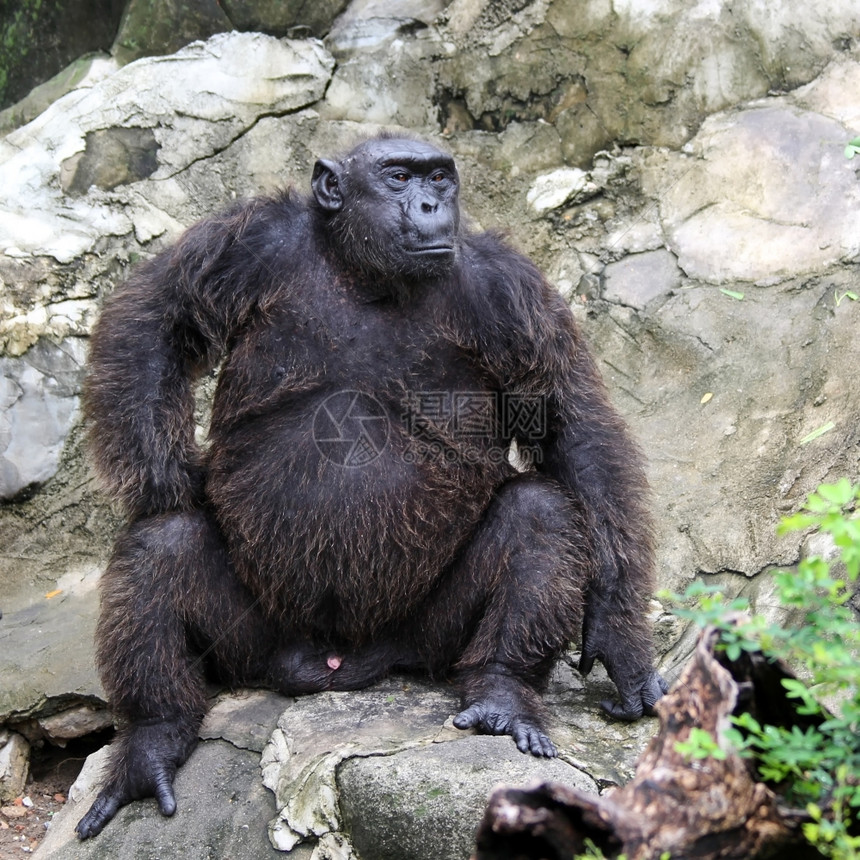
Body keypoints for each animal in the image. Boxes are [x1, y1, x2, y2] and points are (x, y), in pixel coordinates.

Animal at [75, 136, 664, 840]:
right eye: (399, 177)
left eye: (439, 177)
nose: (431, 203)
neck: (365, 272)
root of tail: (342, 663)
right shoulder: (243, 243)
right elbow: (157, 318)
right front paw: (170, 476)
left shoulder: (512, 291)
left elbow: (572, 427)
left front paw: (620, 639)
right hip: (255, 640)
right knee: (161, 543)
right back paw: (152, 739)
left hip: (426, 635)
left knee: (539, 512)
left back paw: (502, 694)